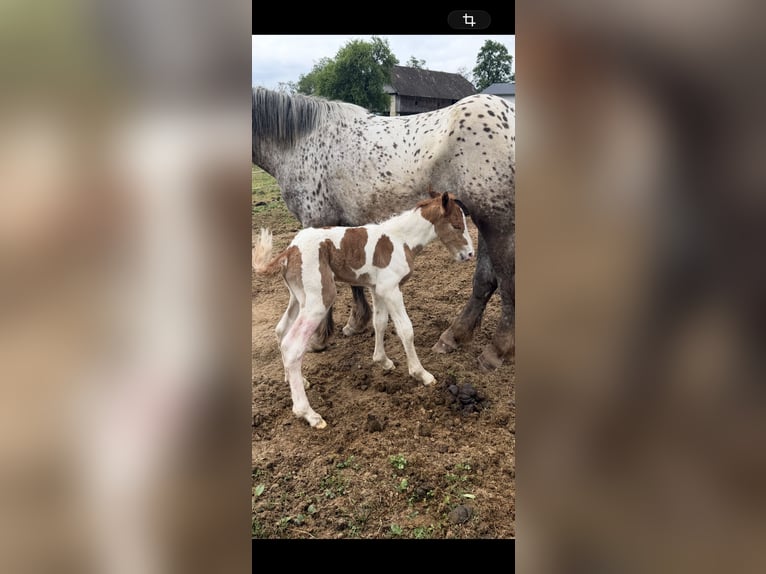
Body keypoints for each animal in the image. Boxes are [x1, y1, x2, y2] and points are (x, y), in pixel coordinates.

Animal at [252, 87, 515, 371]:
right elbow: (352, 276)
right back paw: (454, 336)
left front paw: (320, 338)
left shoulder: (316, 220)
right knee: (485, 280)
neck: (300, 142)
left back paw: (496, 351)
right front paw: (357, 322)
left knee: (507, 280)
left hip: (497, 224)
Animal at [252, 190, 475, 428]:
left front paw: (383, 361)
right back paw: (309, 414)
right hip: (318, 300)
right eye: (456, 225)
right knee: (292, 346)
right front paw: (421, 374)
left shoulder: (378, 289)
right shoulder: (391, 289)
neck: (401, 240)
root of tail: (289, 251)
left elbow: (380, 323)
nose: (470, 254)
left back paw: (297, 380)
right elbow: (406, 330)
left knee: (281, 331)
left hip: (297, 298)